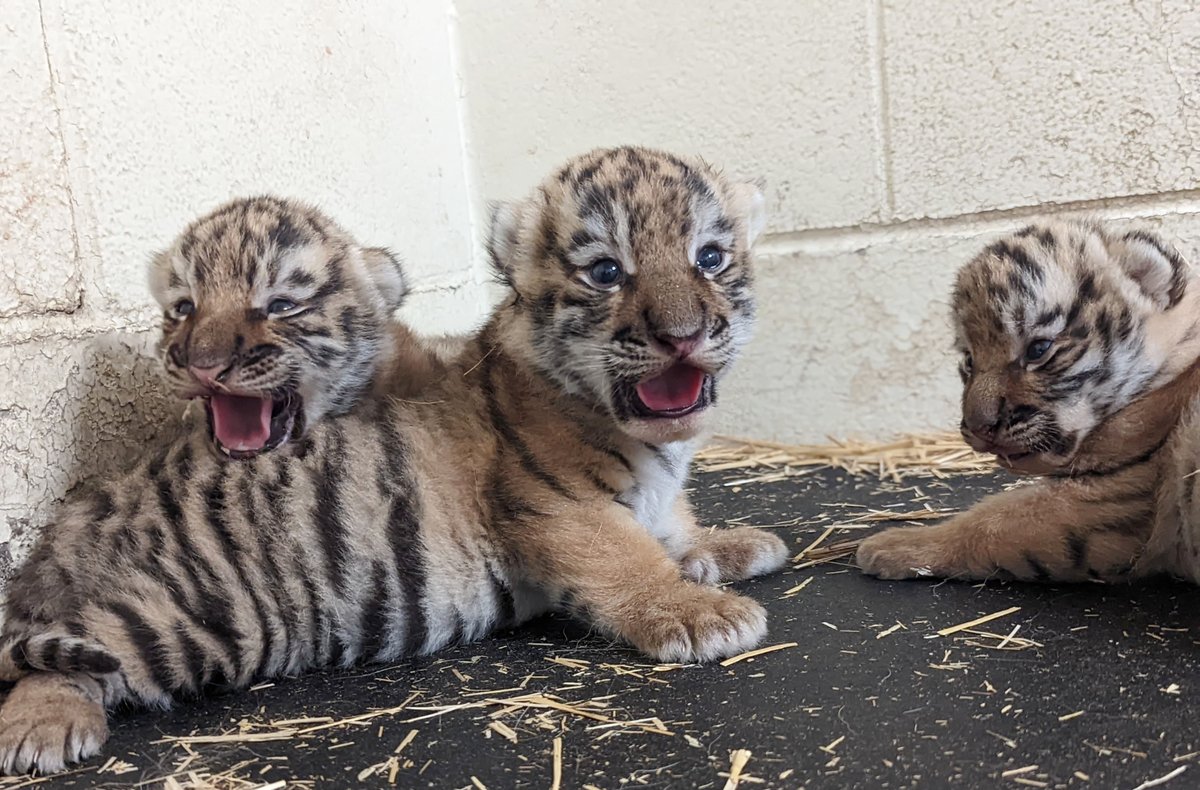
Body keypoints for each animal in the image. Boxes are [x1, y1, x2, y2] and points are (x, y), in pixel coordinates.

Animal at [0, 146, 788, 775]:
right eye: (605, 272)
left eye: (709, 258)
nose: (683, 335)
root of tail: (79, 521)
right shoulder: (554, 505)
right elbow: (625, 558)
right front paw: (697, 612)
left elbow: (674, 525)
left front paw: (726, 546)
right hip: (189, 615)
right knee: (64, 653)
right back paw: (40, 727)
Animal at [856, 218, 1200, 584]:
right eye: (968, 360)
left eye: (1038, 349)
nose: (978, 428)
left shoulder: (1112, 498)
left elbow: (991, 521)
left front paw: (890, 545)